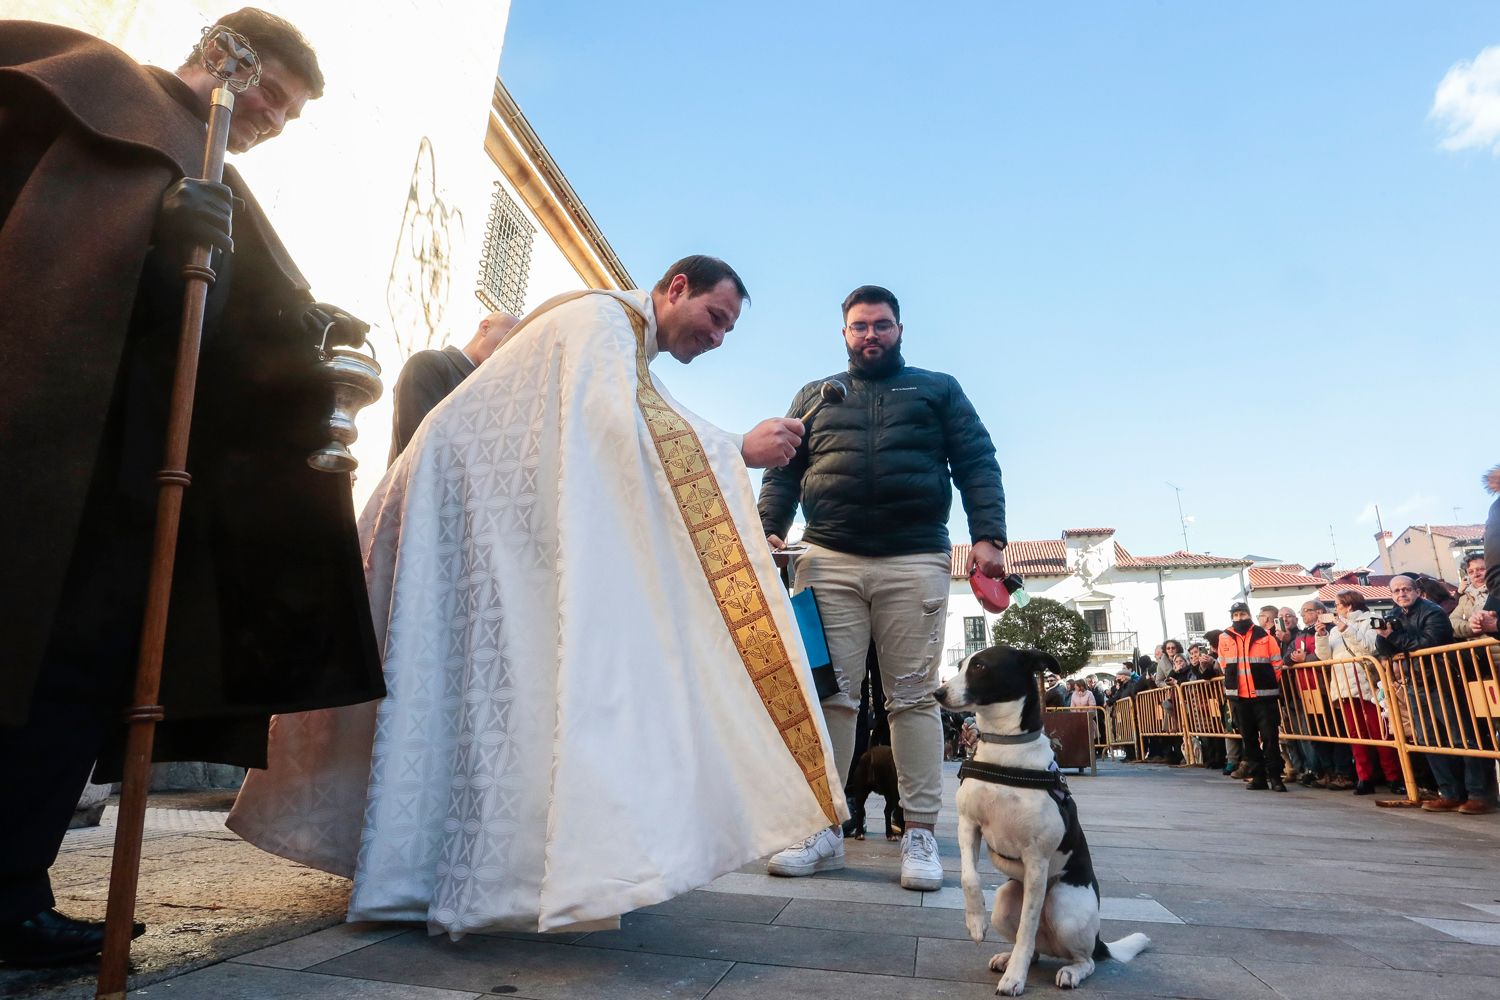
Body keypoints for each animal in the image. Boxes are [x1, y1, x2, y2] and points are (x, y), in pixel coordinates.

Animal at [936, 644, 1146, 995]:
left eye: (980, 666)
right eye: (961, 664)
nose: (937, 692)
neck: (1005, 752)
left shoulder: (1036, 859)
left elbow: (1028, 925)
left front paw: (1014, 979)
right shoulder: (968, 825)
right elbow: (969, 878)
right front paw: (976, 922)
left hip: (1065, 905)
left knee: (1082, 957)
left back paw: (1070, 971)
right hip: (1006, 900)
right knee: (1035, 947)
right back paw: (1009, 957)